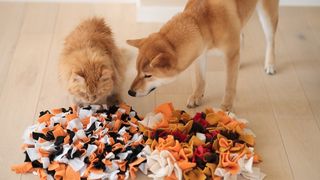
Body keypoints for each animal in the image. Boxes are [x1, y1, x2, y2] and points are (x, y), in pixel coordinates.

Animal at [126, 0, 278, 110]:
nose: (130, 92)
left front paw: (226, 106)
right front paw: (196, 96)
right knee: (241, 38)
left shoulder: (229, 55)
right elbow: (200, 79)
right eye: (137, 71)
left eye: (148, 75)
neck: (202, 24)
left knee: (270, 40)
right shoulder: (199, 54)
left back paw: (270, 64)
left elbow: (229, 86)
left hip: (267, 14)